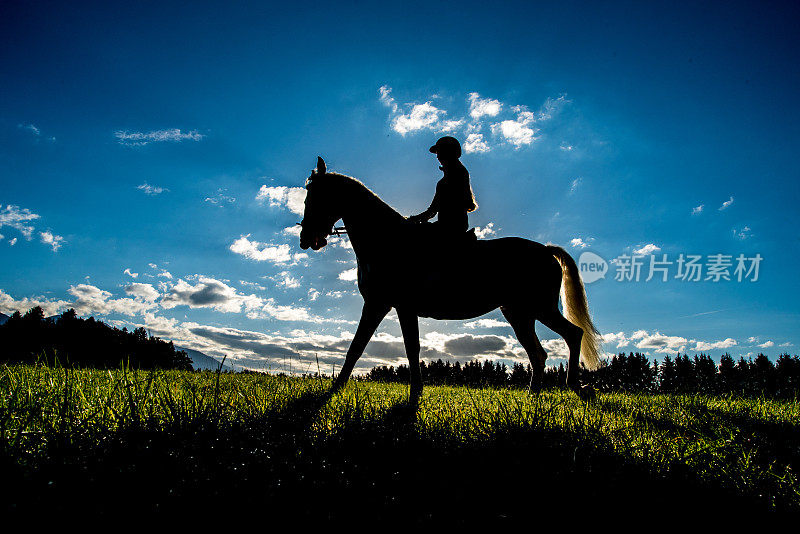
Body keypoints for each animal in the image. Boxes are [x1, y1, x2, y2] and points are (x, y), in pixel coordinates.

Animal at [302, 158, 600, 398]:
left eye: (314, 198)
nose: (307, 239)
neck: (387, 240)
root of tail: (546, 250)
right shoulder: (378, 304)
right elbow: (357, 346)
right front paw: (336, 387)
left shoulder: (400, 307)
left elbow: (410, 348)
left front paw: (415, 391)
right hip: (519, 314)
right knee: (538, 353)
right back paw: (533, 397)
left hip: (540, 308)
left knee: (572, 334)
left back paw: (577, 387)